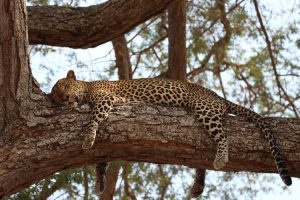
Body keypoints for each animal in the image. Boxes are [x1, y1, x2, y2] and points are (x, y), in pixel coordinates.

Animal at [50, 70, 292, 195]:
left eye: (64, 87)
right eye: (57, 96)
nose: (64, 99)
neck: (86, 87)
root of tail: (219, 97)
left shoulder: (105, 99)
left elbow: (93, 119)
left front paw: (87, 139)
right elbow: (102, 161)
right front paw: (100, 183)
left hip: (204, 109)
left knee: (223, 136)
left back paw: (221, 158)